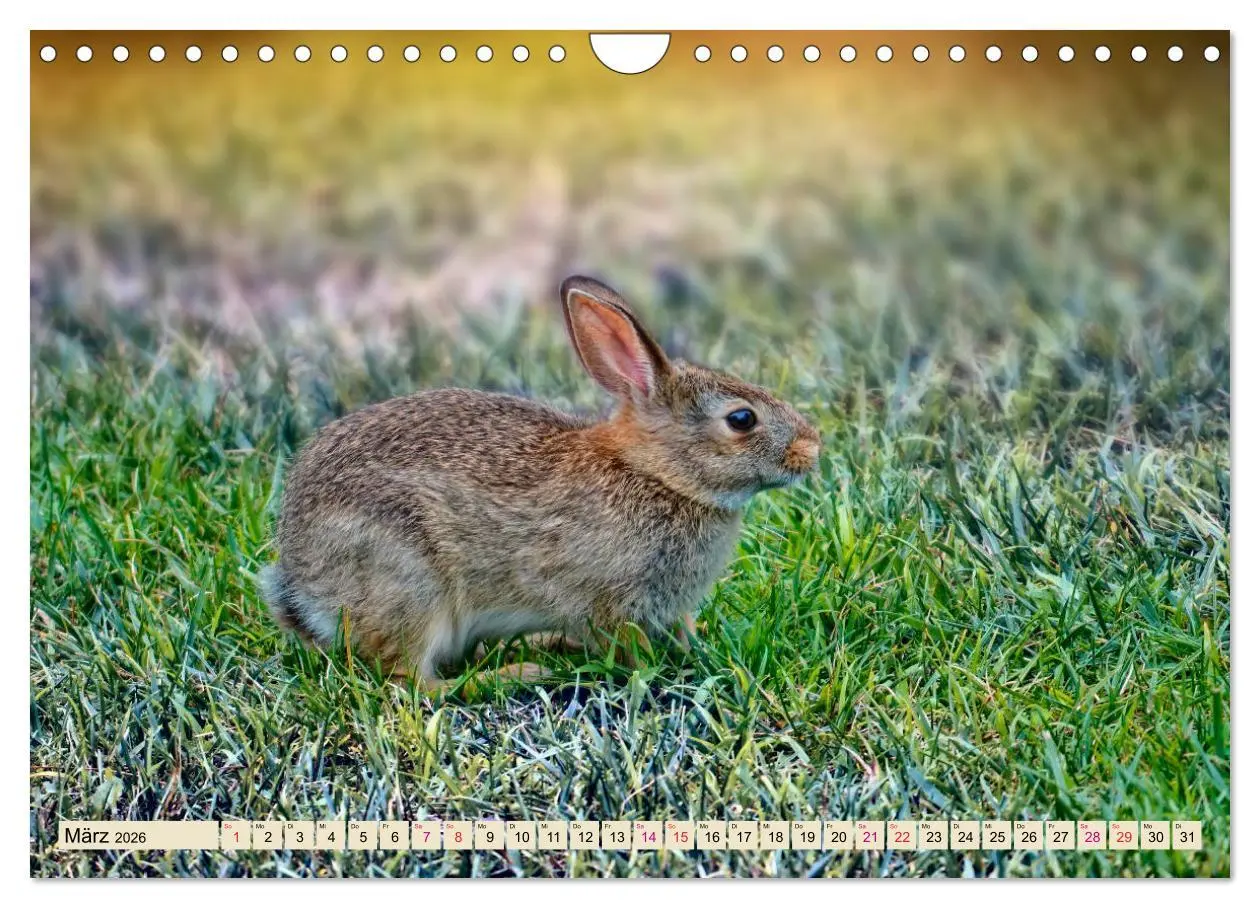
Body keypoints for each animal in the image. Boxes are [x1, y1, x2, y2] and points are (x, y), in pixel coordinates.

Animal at [259, 275, 821, 691]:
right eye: (742, 419)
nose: (812, 447)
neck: (657, 475)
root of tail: (301, 585)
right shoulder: (609, 601)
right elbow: (628, 647)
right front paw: (655, 668)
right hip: (407, 583)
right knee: (411, 680)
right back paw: (515, 673)